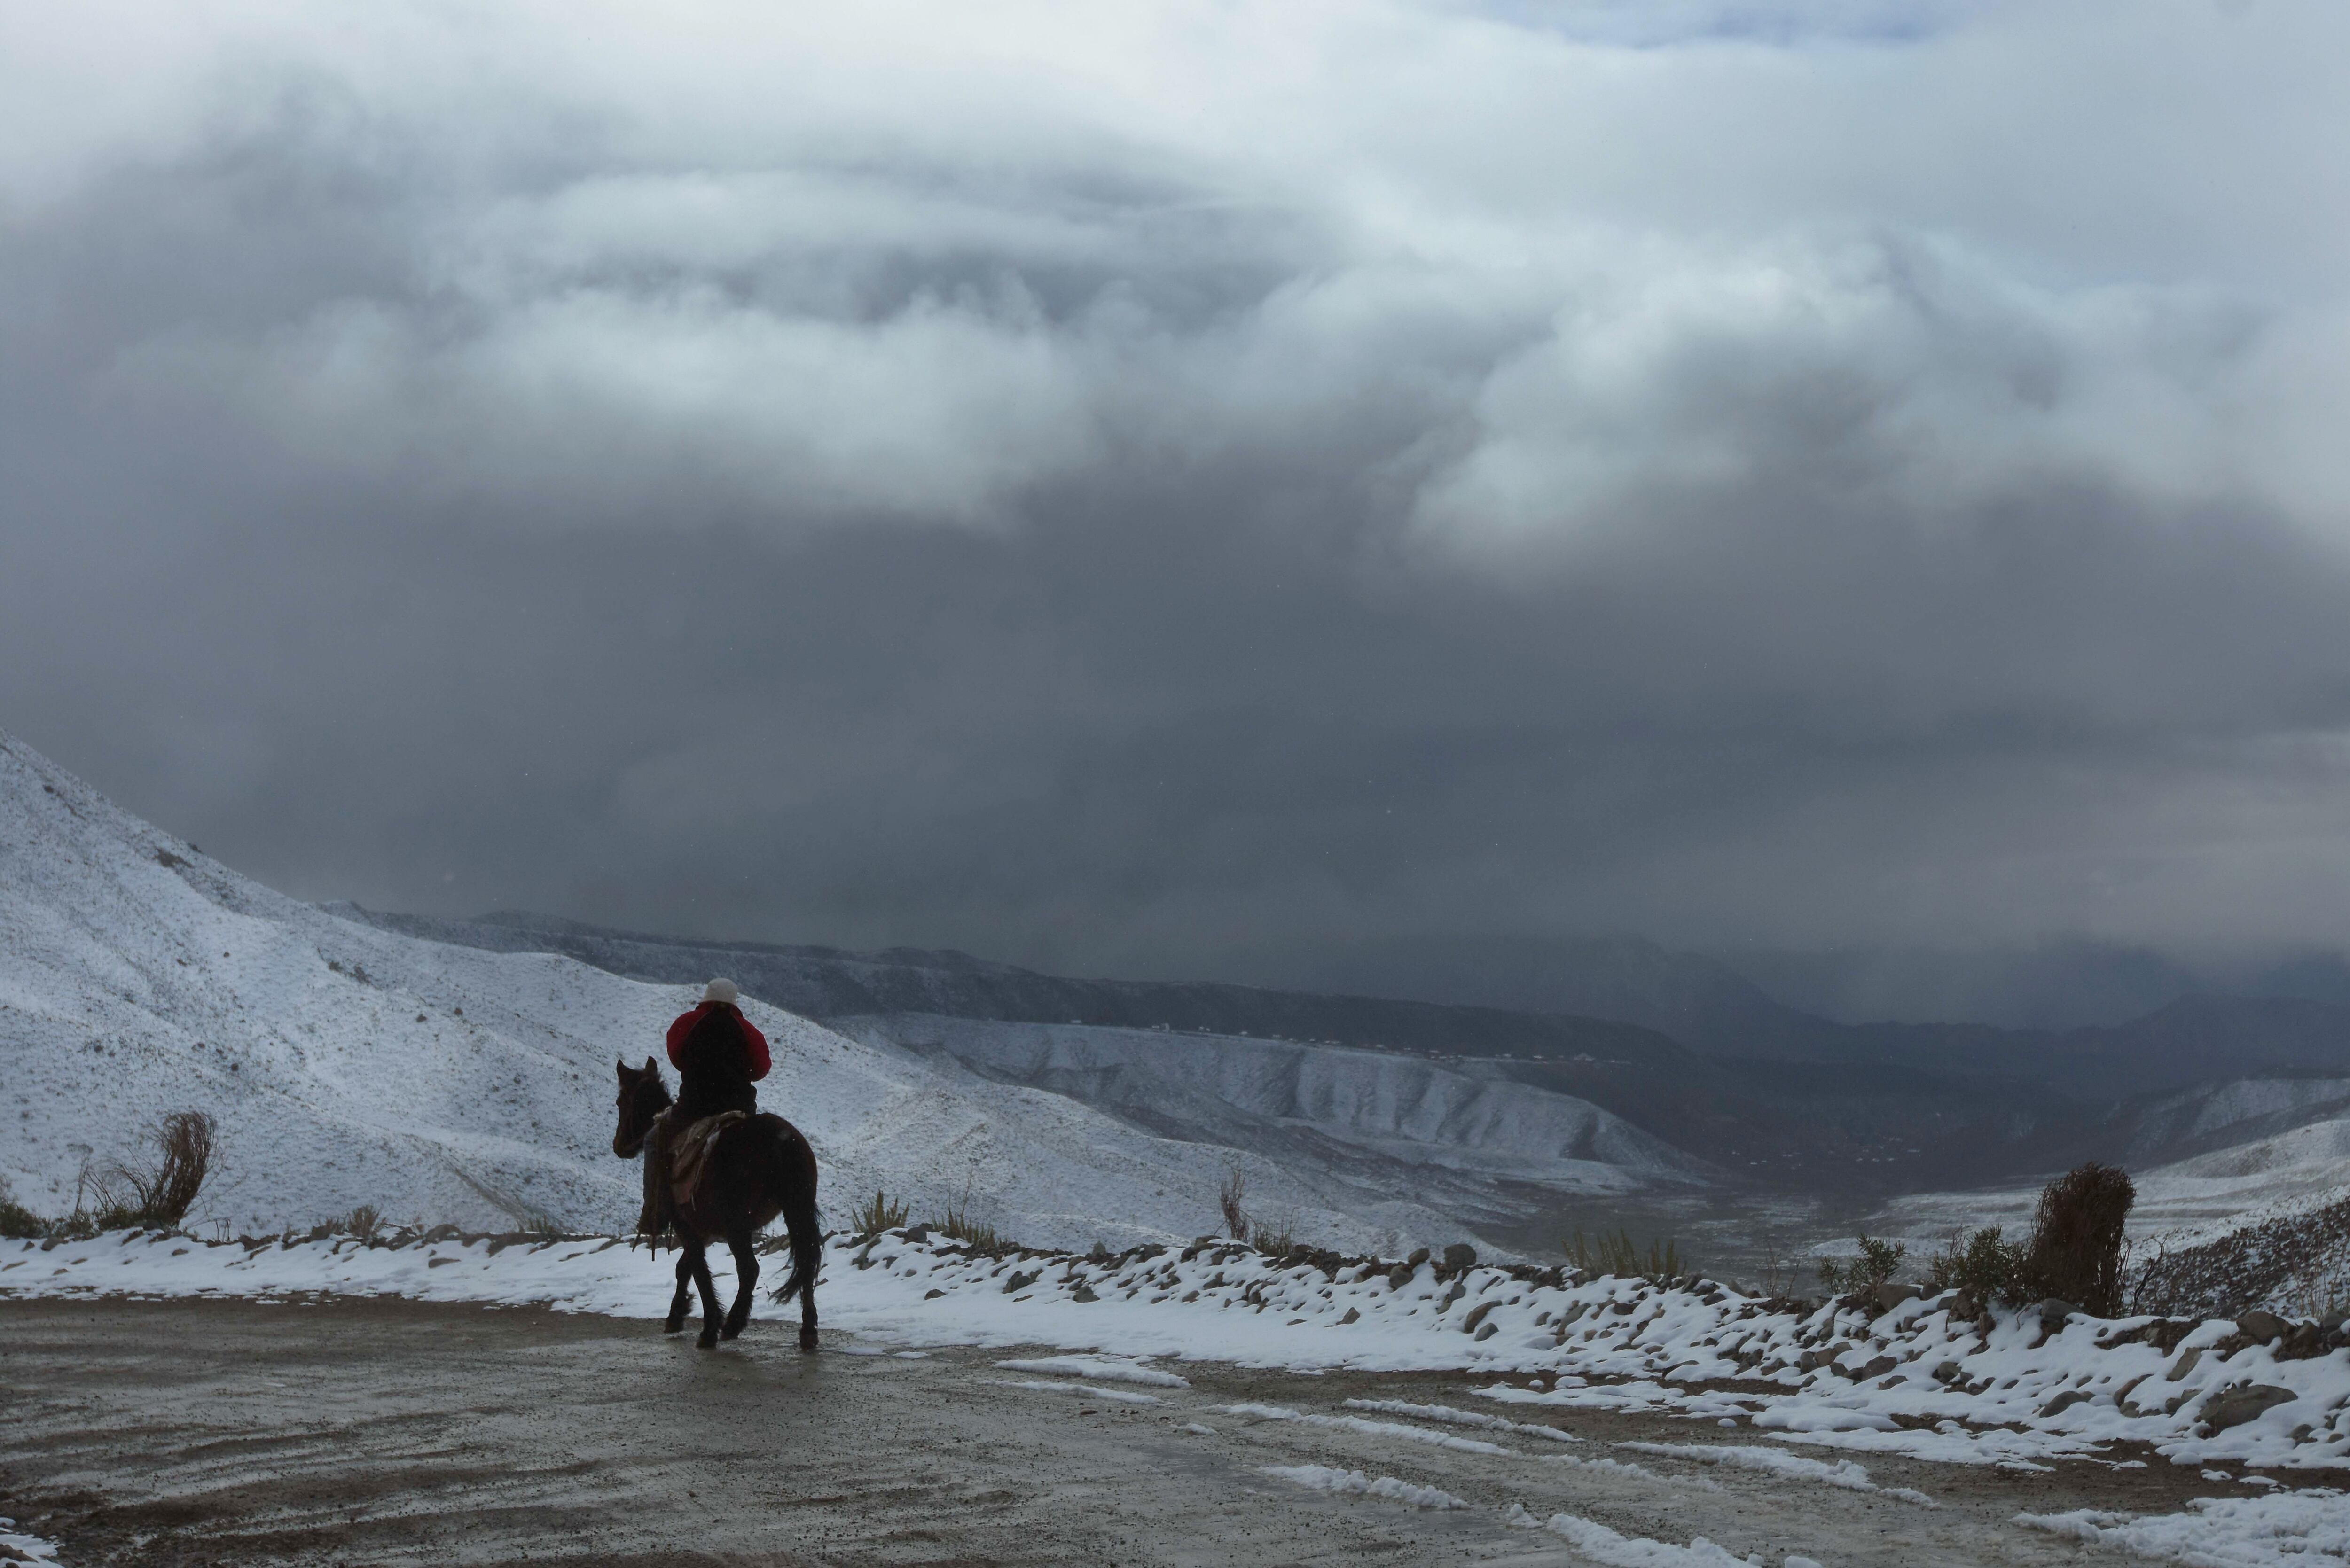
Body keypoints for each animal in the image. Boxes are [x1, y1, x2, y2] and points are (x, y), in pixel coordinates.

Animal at [611, 1062, 822, 1354]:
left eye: (621, 1102)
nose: (618, 1146)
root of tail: (782, 1140)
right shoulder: (701, 1229)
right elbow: (685, 1267)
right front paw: (677, 1315)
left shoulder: (686, 1226)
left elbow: (699, 1271)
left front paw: (709, 1327)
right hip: (796, 1211)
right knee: (807, 1260)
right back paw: (808, 1330)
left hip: (738, 1225)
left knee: (749, 1269)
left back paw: (733, 1324)